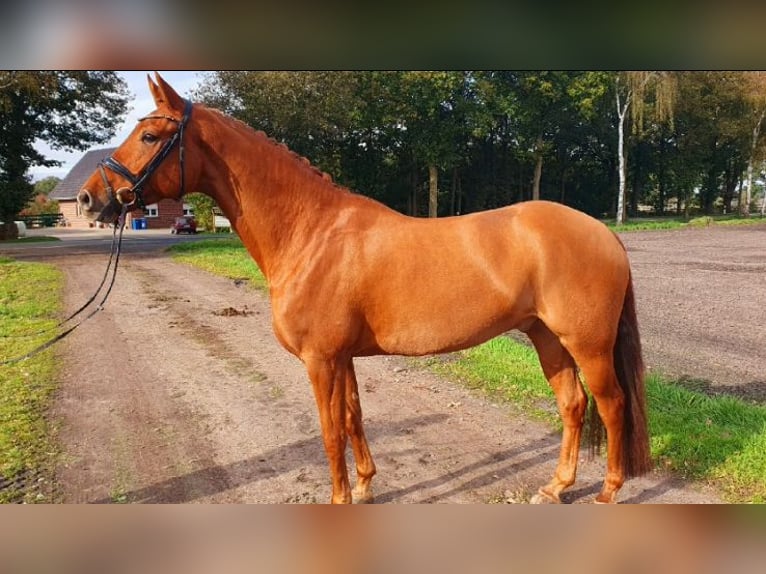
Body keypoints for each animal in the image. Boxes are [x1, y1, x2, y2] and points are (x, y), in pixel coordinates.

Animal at [78, 74, 652, 506]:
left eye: (151, 138)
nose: (88, 199)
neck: (311, 233)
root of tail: (604, 233)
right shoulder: (342, 357)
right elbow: (354, 418)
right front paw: (365, 486)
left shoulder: (320, 359)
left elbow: (330, 432)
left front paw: (339, 499)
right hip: (546, 337)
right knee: (573, 405)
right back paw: (556, 487)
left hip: (587, 344)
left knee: (612, 405)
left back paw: (608, 491)